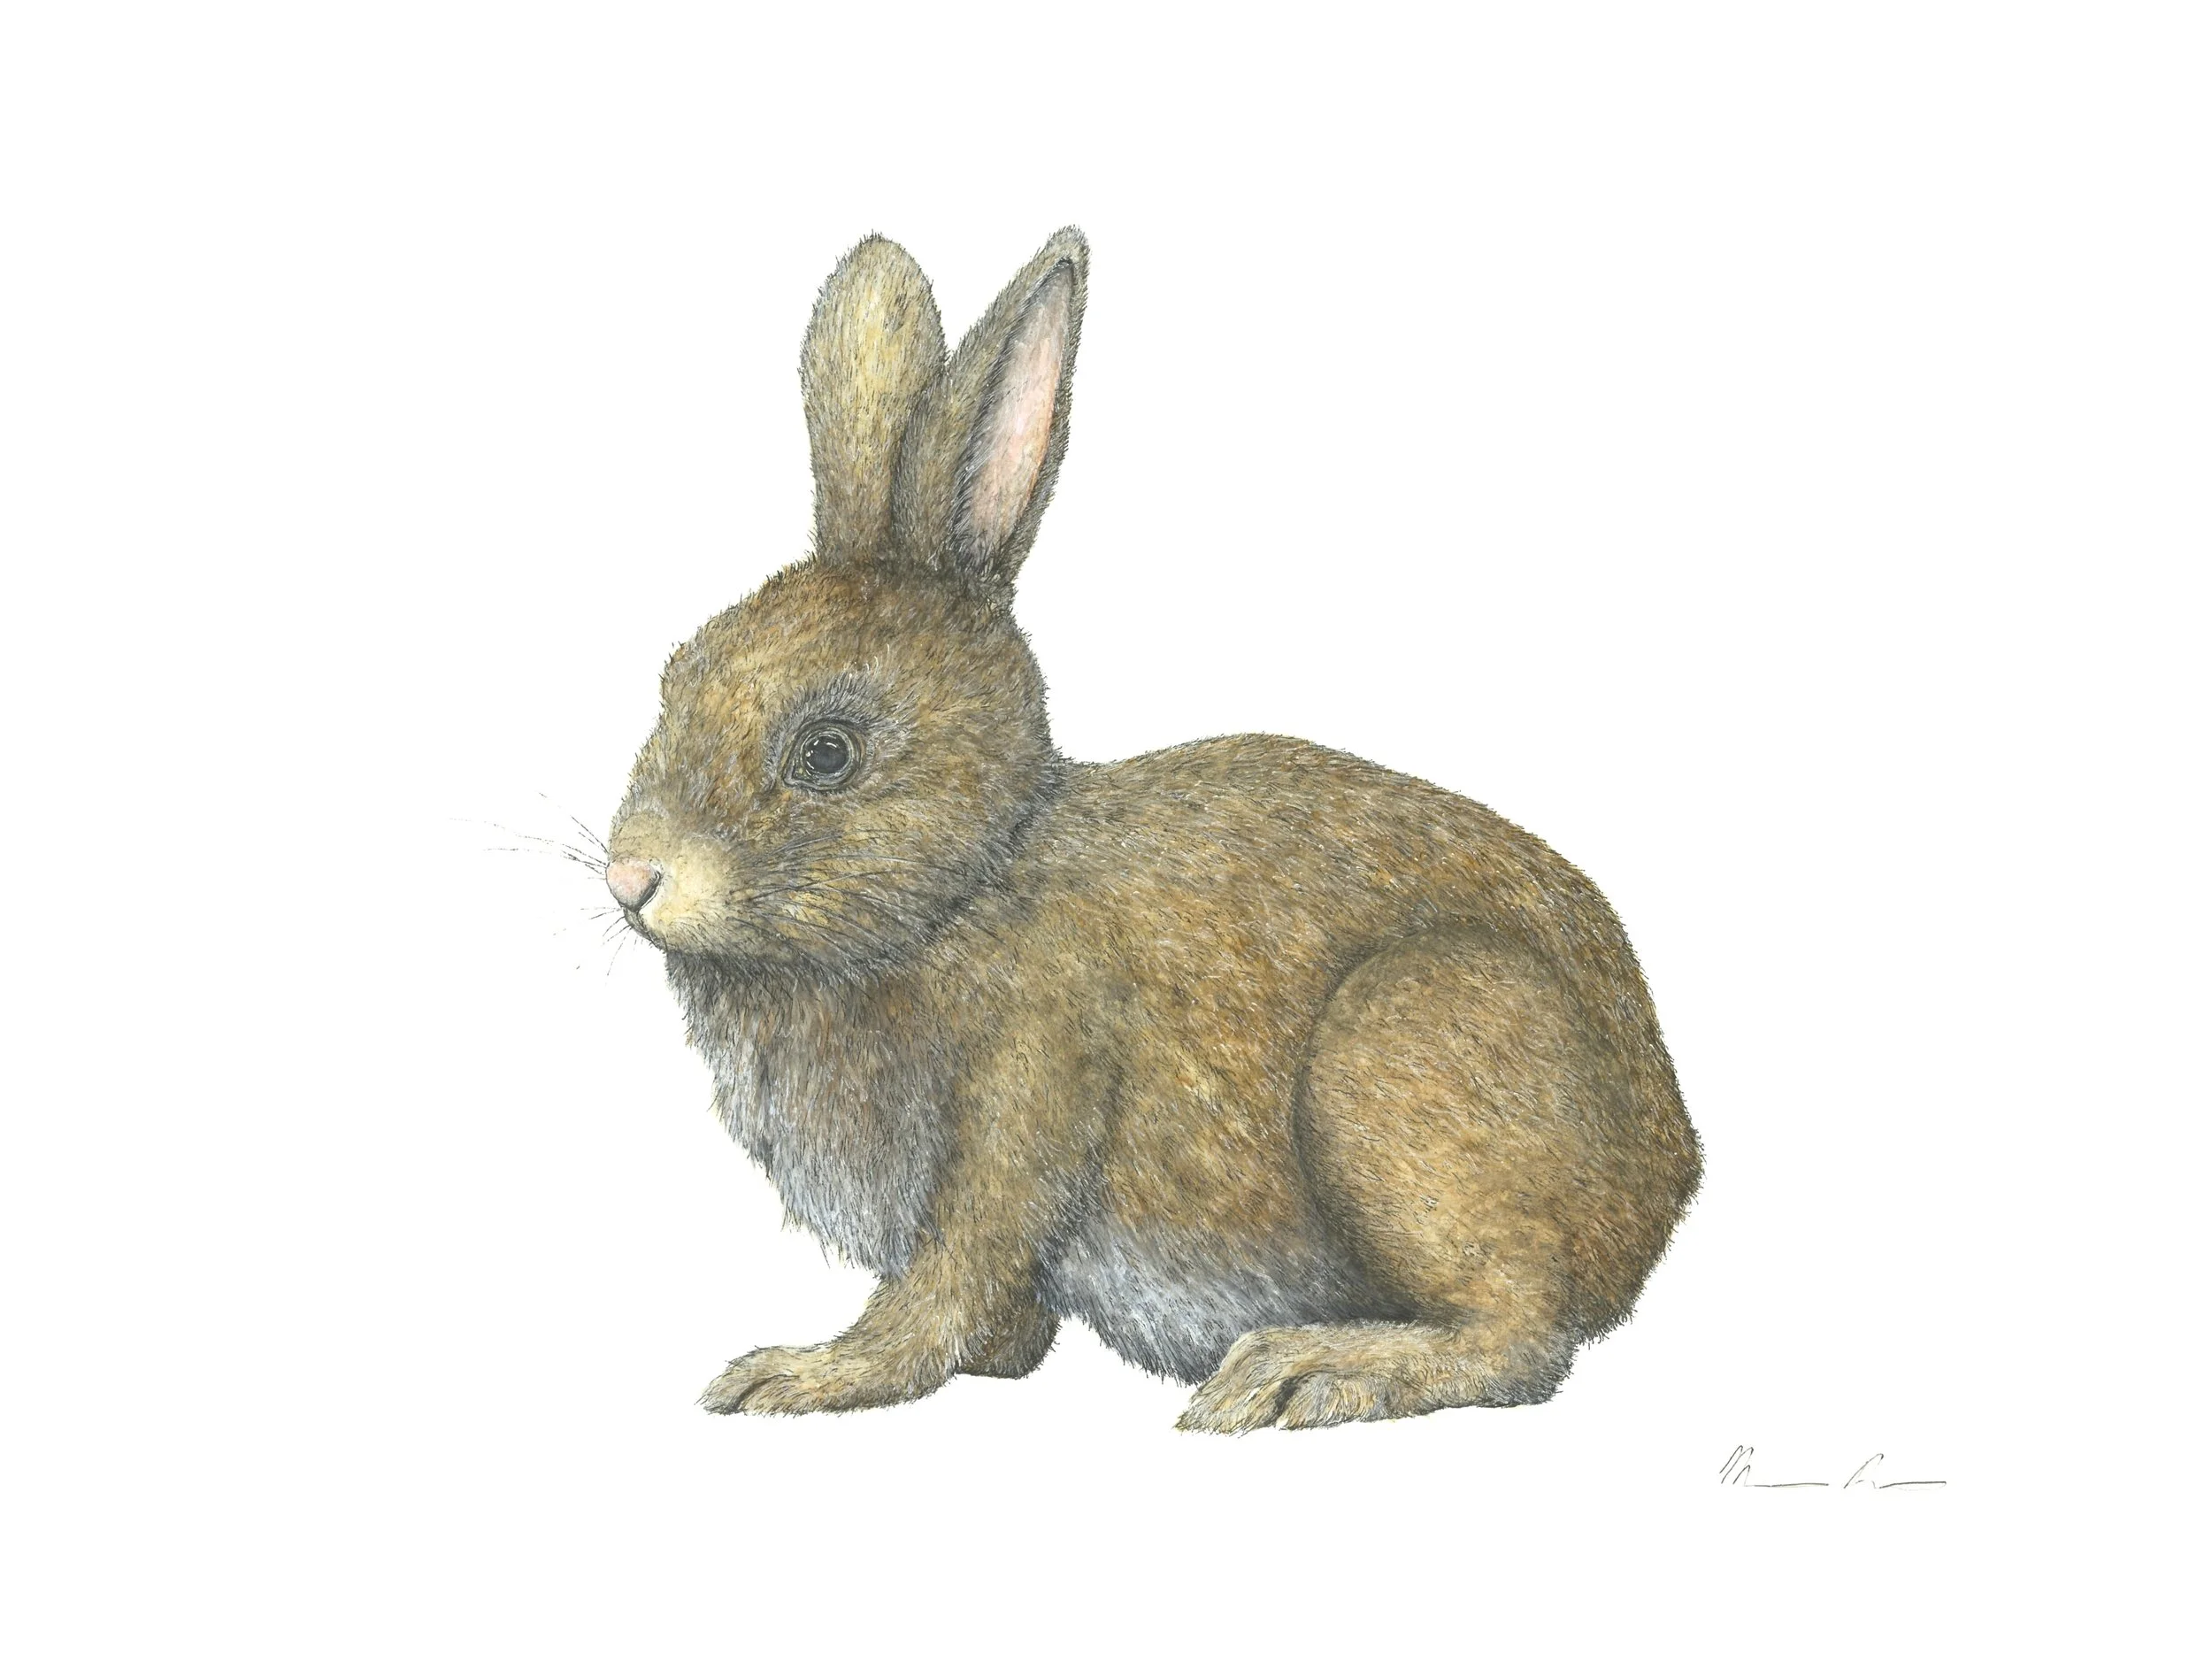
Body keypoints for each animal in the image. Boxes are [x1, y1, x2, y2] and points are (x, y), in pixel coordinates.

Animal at [603, 228, 1702, 1431]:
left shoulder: (1029, 1093)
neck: (969, 883)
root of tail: (1668, 1176)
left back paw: (1306, 1371)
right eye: (673, 677)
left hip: (1407, 1053)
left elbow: (946, 1278)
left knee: (1518, 1338)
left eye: (827, 752)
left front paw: (803, 1374)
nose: (632, 875)